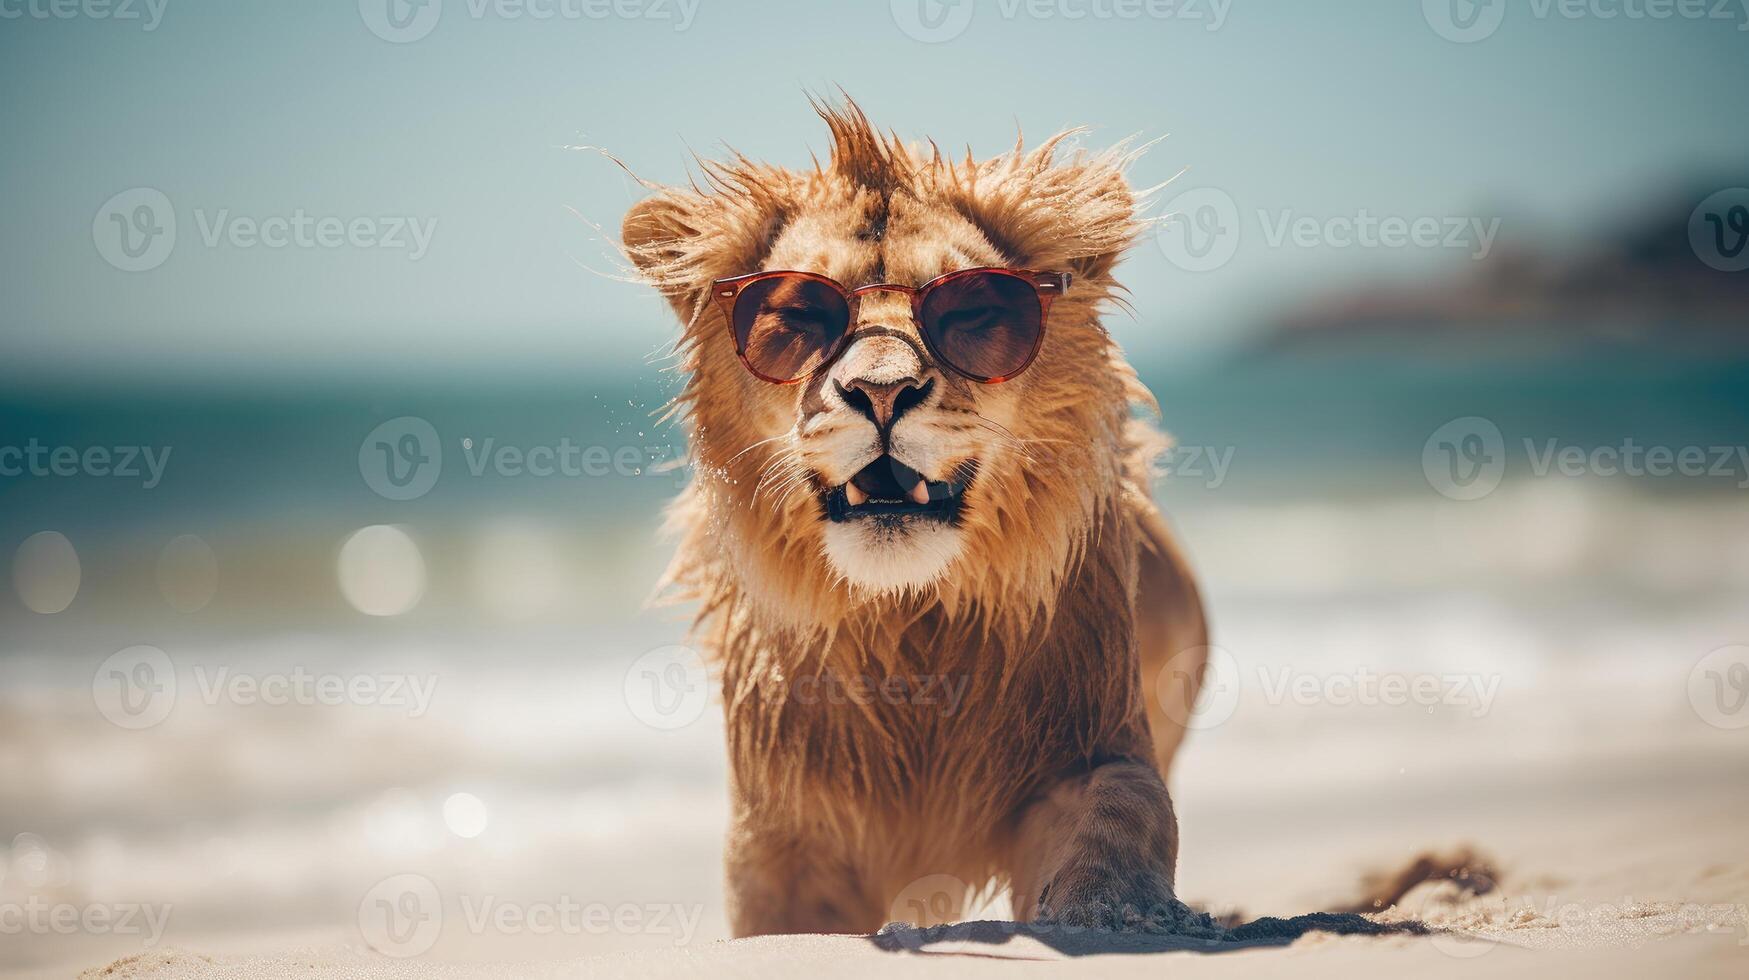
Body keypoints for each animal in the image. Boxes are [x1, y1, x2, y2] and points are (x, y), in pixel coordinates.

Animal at [622, 97, 1210, 931]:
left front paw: (1112, 912)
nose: (881, 391)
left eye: (971, 309)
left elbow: (1122, 811)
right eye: (798, 316)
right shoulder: (779, 833)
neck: (910, 626)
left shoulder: (1094, 743)